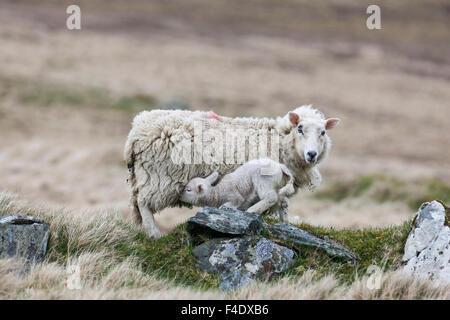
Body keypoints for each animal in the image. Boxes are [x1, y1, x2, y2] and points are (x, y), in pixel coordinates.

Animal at [125, 105, 340, 238]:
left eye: (323, 132)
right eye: (300, 128)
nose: (311, 154)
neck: (280, 140)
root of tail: (137, 129)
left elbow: (283, 205)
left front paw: (285, 225)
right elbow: (277, 202)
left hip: (145, 175)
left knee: (137, 201)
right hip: (160, 176)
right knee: (143, 202)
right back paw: (154, 234)